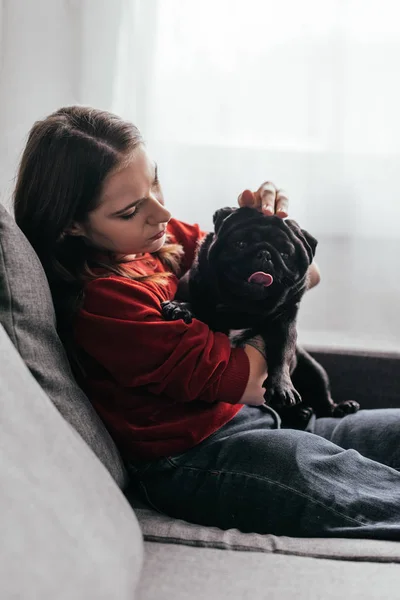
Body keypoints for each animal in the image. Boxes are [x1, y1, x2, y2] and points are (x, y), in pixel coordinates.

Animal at [162, 207, 360, 426]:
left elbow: (281, 355)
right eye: (240, 244)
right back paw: (301, 413)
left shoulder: (284, 325)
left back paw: (335, 408)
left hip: (314, 370)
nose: (265, 254)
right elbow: (198, 305)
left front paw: (282, 387)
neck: (241, 307)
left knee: (321, 397)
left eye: (285, 254)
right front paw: (180, 307)